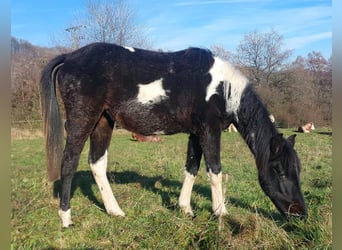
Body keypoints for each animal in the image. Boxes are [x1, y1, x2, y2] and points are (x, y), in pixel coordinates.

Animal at [40, 42, 308, 227]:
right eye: (279, 171)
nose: (301, 213)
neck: (222, 88)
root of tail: (69, 58)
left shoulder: (196, 133)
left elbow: (192, 168)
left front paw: (185, 209)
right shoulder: (209, 131)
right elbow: (215, 170)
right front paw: (221, 212)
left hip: (103, 122)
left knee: (97, 164)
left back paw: (115, 211)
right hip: (82, 120)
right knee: (69, 162)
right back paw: (66, 218)